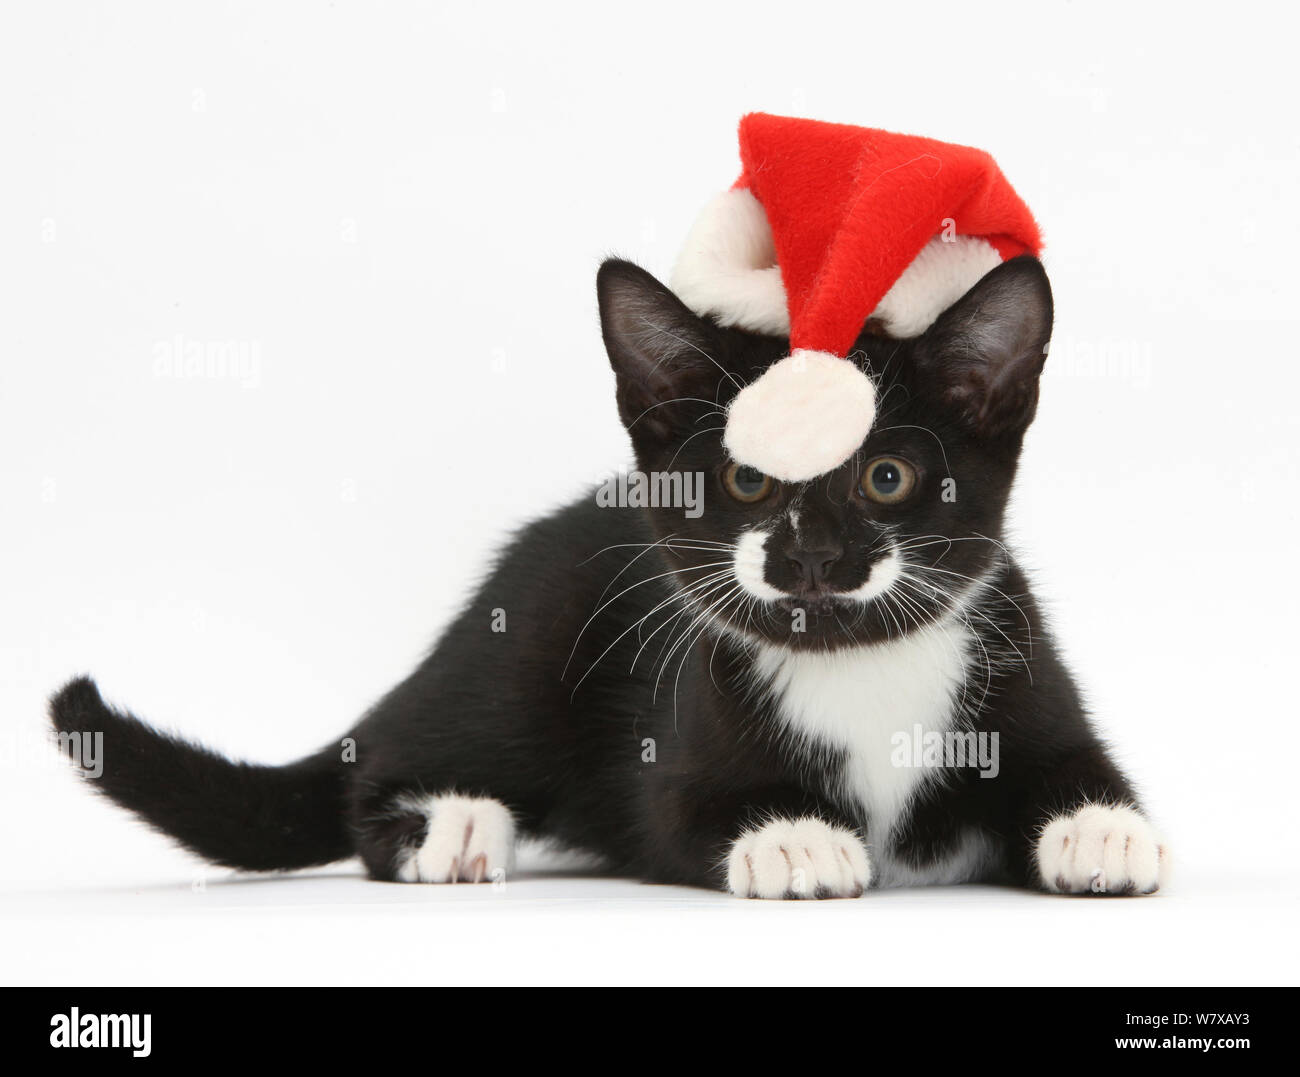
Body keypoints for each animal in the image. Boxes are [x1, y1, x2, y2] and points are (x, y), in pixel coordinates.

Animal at [50, 256, 1170, 894]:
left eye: (887, 476)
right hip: (520, 659)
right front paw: (794, 839)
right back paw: (454, 820)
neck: (859, 670)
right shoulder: (673, 755)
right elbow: (680, 814)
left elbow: (1076, 765)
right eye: (746, 477)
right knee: (376, 770)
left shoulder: (1024, 670)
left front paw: (1102, 827)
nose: (811, 553)